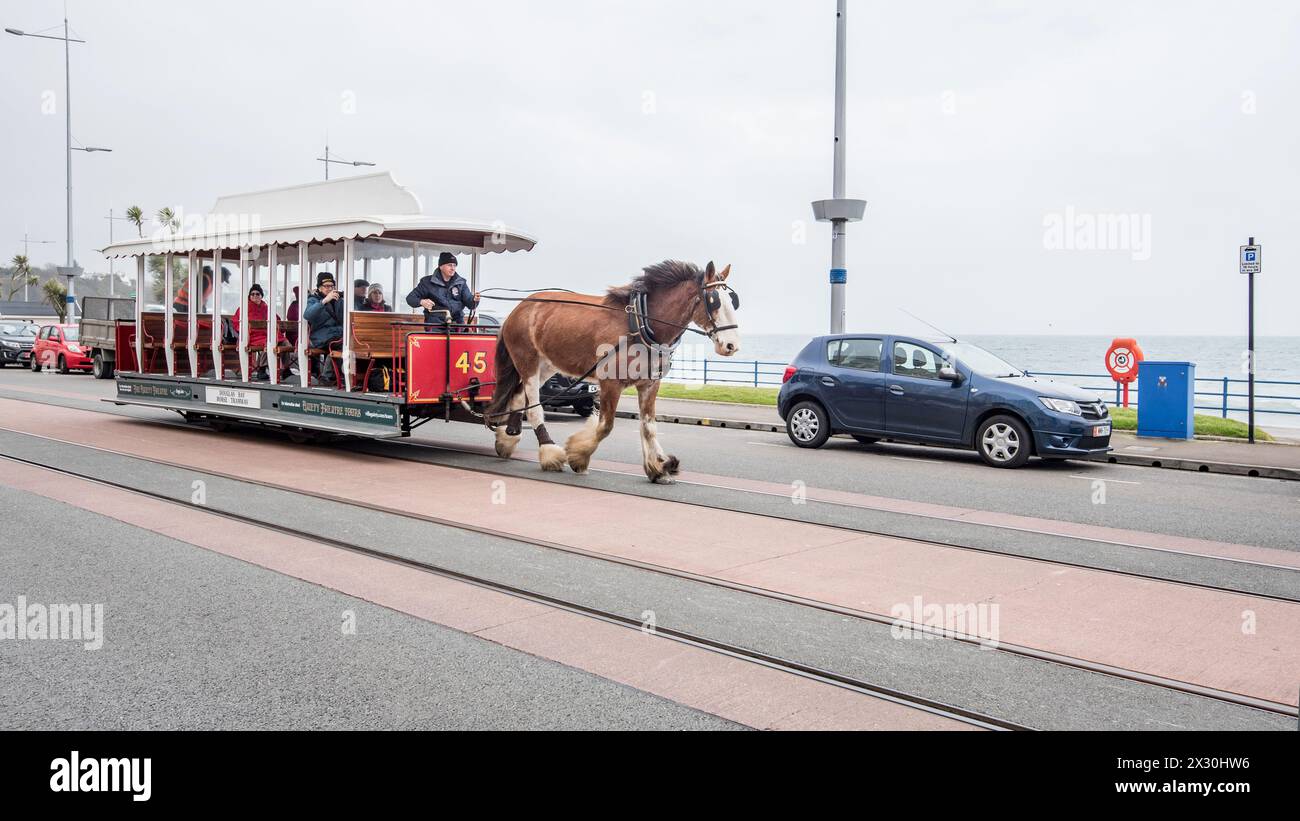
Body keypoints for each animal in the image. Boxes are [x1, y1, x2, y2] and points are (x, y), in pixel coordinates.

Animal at [486, 261, 743, 480]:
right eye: (714, 301)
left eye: (733, 301)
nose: (732, 345)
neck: (640, 323)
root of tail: (520, 307)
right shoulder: (610, 383)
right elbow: (605, 426)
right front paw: (578, 456)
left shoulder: (649, 384)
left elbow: (648, 426)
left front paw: (657, 465)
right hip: (527, 359)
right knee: (534, 408)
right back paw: (549, 452)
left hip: (546, 365)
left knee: (519, 398)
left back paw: (507, 439)